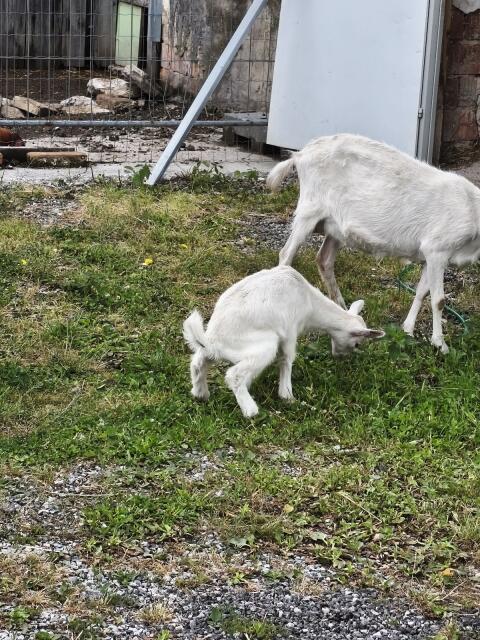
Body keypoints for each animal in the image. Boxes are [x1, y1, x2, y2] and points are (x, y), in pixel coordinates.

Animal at [183, 265, 384, 417]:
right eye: (357, 344)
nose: (340, 358)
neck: (309, 302)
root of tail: (213, 341)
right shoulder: (290, 330)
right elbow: (287, 359)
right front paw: (287, 396)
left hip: (212, 351)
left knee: (198, 363)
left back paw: (201, 395)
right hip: (264, 345)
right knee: (235, 374)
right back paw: (251, 411)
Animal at [266, 133, 480, 354]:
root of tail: (300, 155)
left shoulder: (428, 256)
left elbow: (421, 292)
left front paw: (408, 330)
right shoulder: (438, 249)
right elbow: (439, 300)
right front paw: (440, 344)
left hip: (335, 227)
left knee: (324, 260)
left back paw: (342, 307)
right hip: (309, 211)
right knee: (286, 254)